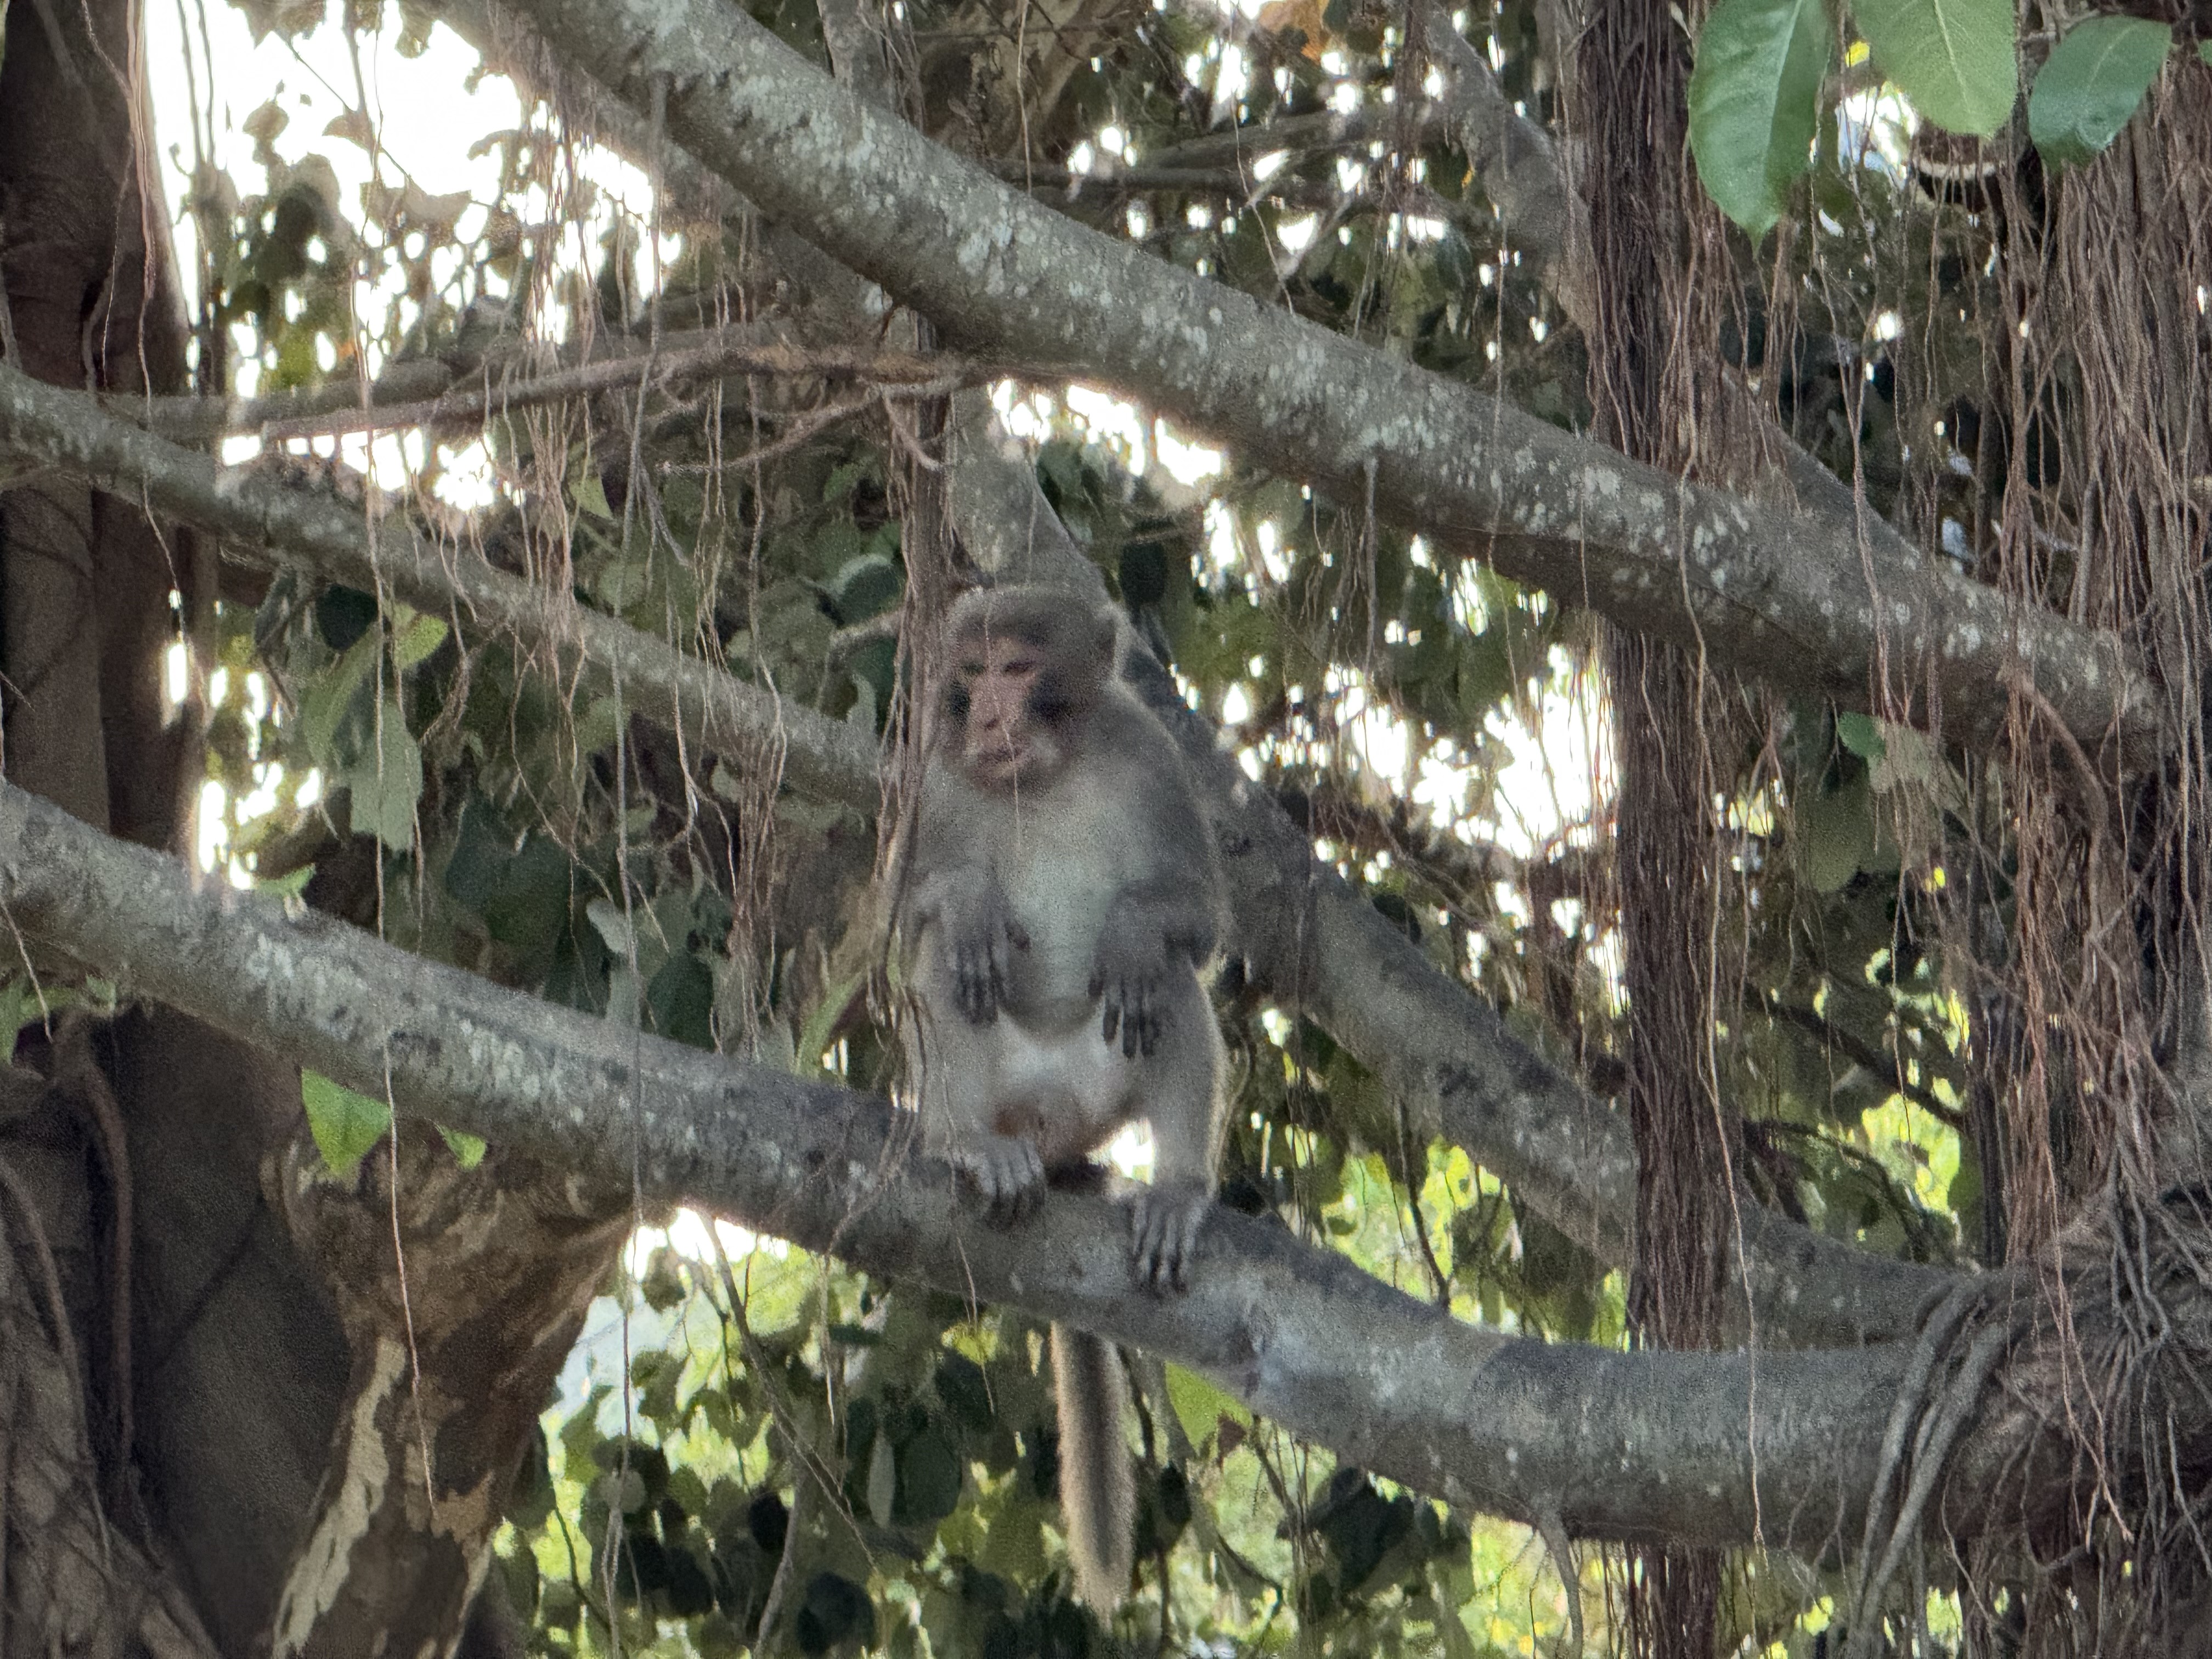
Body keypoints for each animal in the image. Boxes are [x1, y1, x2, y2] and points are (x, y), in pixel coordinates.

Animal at [897, 584, 1226, 1613]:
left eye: (1015, 667)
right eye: (970, 674)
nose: (985, 714)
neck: (1042, 775)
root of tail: (1048, 1126)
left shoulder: (1148, 754)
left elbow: (1196, 921)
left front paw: (1133, 925)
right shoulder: (937, 780)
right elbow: (907, 917)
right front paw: (964, 897)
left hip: (1100, 1092)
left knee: (1165, 984)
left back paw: (1177, 1187)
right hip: (987, 1085)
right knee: (945, 966)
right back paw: (965, 1142)